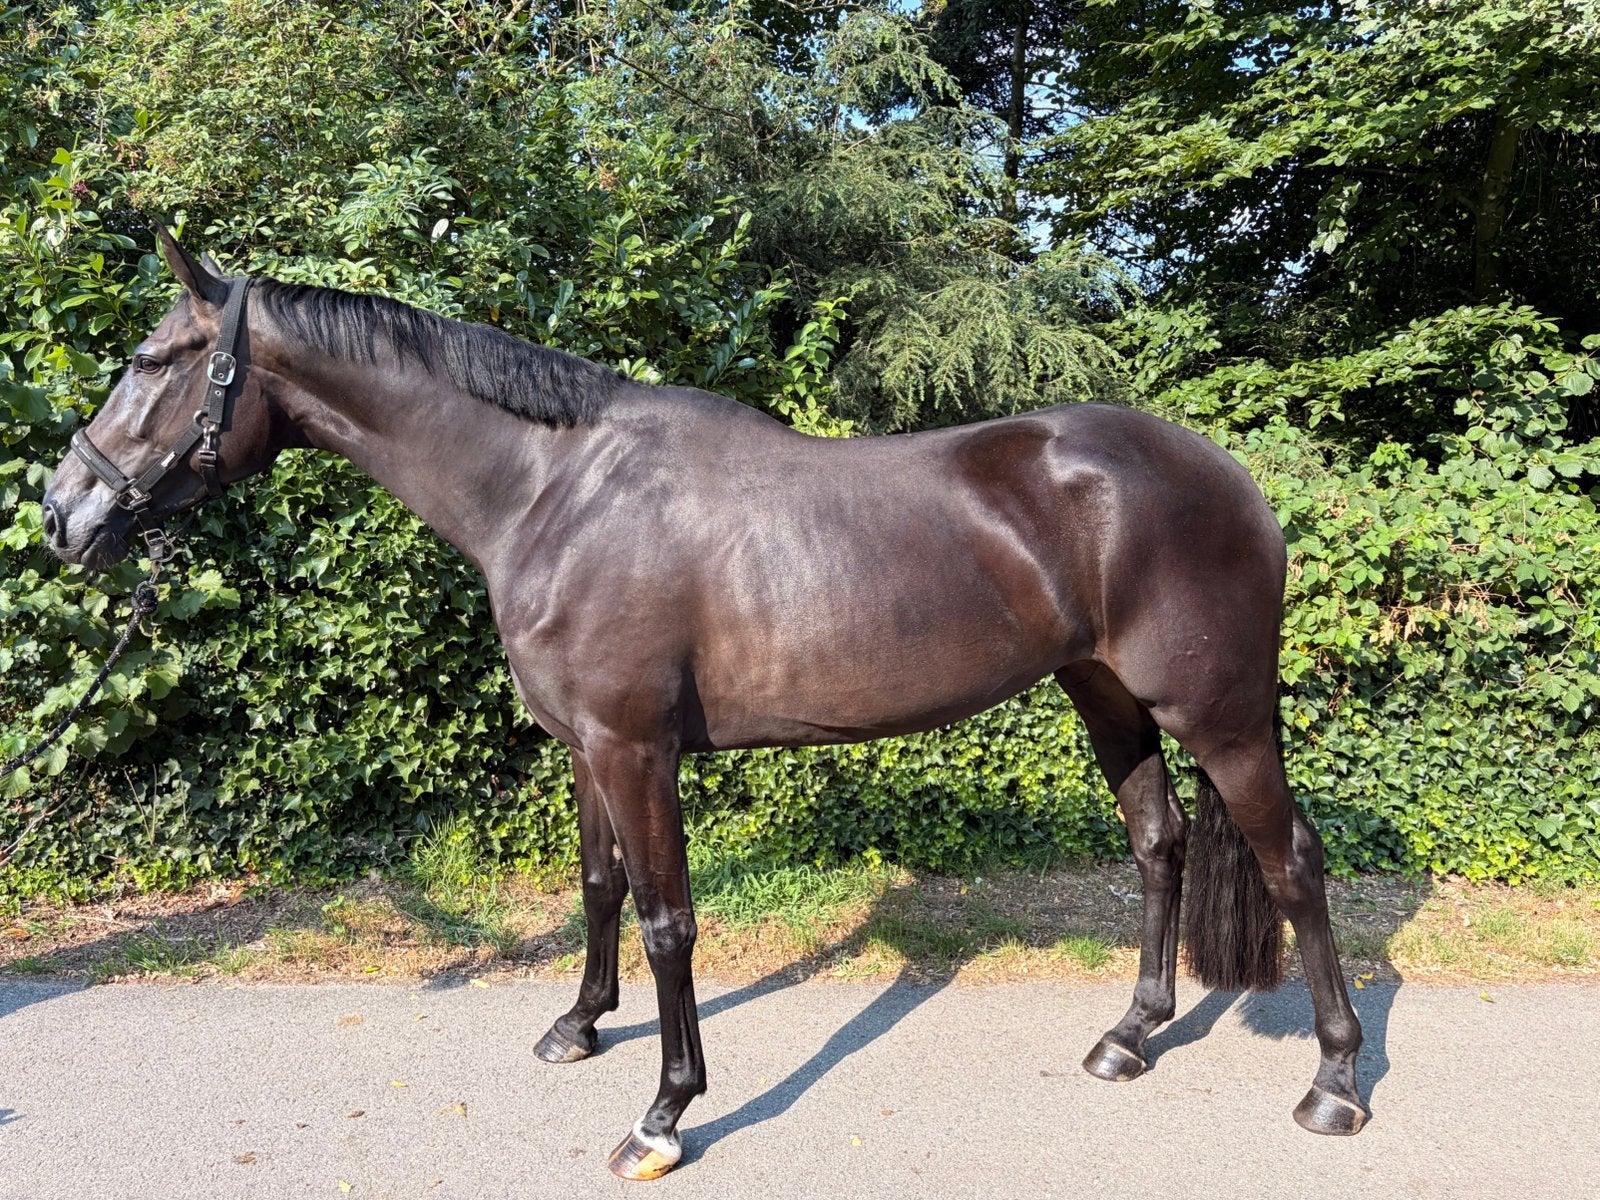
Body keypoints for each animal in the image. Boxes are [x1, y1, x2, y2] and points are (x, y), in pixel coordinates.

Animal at [39, 227, 1367, 1180]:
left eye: (152, 362)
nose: (64, 514)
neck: (553, 493)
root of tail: (1227, 474)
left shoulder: (636, 749)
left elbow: (669, 919)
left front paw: (664, 1114)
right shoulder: (586, 746)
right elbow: (599, 886)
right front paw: (577, 1028)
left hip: (1220, 713)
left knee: (1291, 862)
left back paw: (1333, 1087)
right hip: (1105, 696)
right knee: (1159, 842)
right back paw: (1127, 1039)